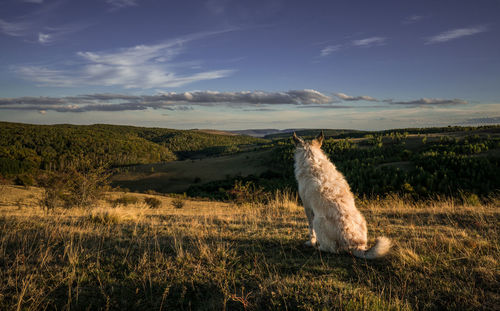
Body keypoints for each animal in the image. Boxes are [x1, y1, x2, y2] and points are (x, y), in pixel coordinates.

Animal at [292, 132, 390, 260]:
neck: (312, 159)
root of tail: (355, 244)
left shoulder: (307, 206)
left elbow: (310, 229)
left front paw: (311, 242)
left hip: (318, 221)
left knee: (331, 248)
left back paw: (319, 248)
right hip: (361, 218)